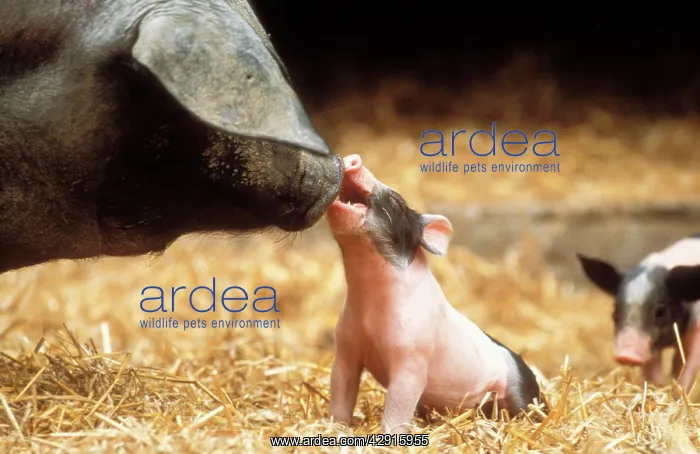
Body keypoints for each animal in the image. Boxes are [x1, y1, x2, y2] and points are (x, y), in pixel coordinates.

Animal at [327, 154, 544, 434]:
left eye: (397, 202)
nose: (353, 158)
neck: (368, 304)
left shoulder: (412, 358)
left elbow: (399, 405)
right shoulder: (347, 345)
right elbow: (341, 388)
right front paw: (334, 429)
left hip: (521, 392)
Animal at [577, 236, 700, 391]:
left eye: (660, 311)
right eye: (615, 309)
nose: (626, 355)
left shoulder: (696, 333)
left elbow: (686, 370)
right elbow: (652, 372)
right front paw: (654, 388)